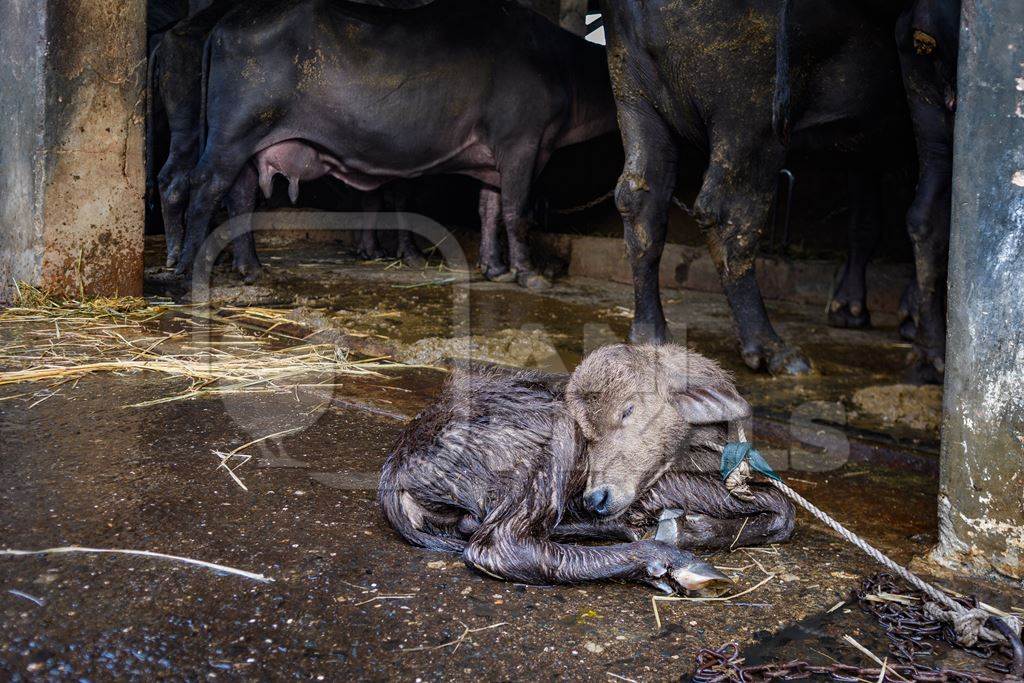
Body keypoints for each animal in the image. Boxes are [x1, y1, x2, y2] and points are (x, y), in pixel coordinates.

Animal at [176, 0, 614, 286]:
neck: (560, 67)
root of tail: (228, 22)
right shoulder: (522, 142)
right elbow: (516, 212)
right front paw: (530, 275)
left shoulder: (494, 158)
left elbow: (489, 209)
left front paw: (494, 268)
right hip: (233, 134)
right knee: (206, 187)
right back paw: (187, 270)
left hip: (248, 144)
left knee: (241, 194)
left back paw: (250, 268)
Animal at [598, 0, 905, 374]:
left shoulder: (865, 152)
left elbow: (866, 220)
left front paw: (850, 312)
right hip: (748, 106)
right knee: (729, 216)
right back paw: (779, 353)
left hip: (633, 90)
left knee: (640, 198)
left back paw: (651, 337)